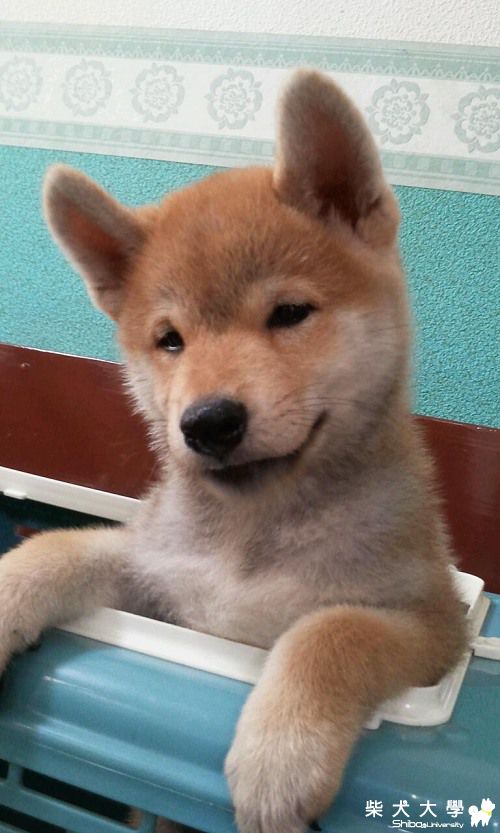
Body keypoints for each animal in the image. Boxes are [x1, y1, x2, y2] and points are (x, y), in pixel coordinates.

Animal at [0, 70, 467, 833]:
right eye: (170, 340)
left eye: (289, 313)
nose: (209, 421)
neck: (252, 540)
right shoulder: (159, 576)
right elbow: (62, 547)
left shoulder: (430, 624)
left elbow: (329, 631)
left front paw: (280, 753)